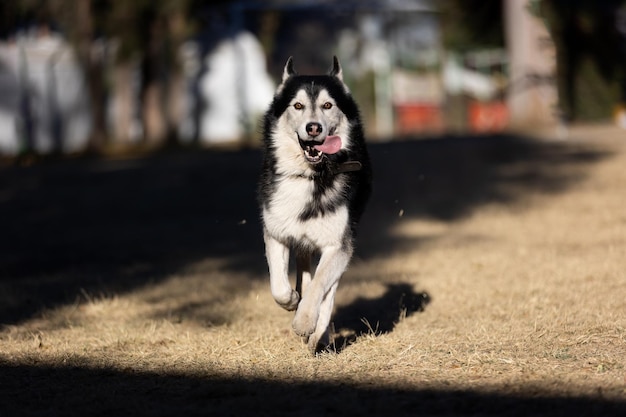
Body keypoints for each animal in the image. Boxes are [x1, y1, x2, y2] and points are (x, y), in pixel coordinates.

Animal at [258, 57, 370, 352]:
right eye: (297, 106)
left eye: (327, 106)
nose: (314, 128)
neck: (311, 176)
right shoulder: (277, 232)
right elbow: (278, 285)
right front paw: (291, 301)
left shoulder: (338, 246)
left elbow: (320, 287)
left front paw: (305, 321)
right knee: (305, 268)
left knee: (327, 293)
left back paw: (319, 335)